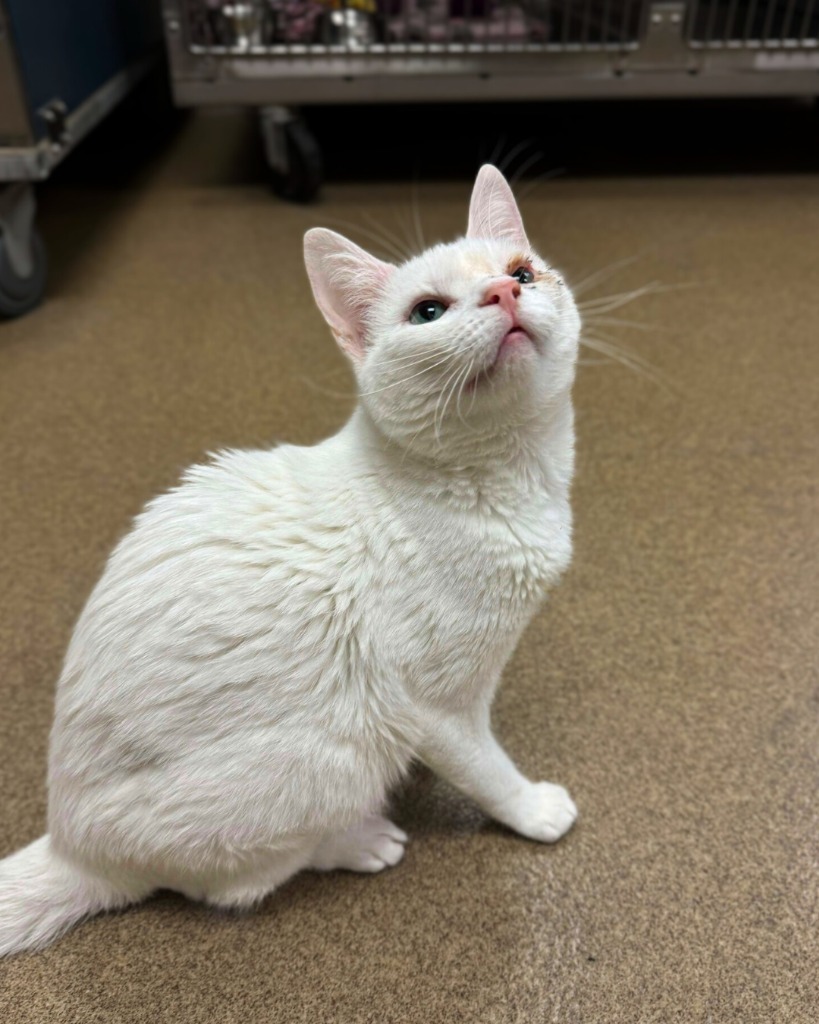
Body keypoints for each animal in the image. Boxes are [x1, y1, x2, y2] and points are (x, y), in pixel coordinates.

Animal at [0, 163, 577, 954]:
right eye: (427, 312)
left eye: (522, 271)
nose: (504, 292)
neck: (511, 479)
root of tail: (68, 843)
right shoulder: (435, 706)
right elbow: (487, 769)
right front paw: (532, 810)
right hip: (332, 755)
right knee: (231, 884)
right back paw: (363, 839)